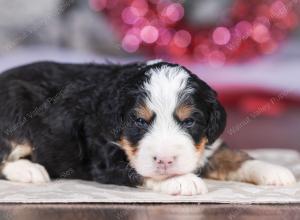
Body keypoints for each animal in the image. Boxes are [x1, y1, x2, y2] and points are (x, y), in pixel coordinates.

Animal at [0, 60, 296, 196]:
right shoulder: (105, 158)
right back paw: (29, 170)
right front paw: (181, 180)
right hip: (16, 109)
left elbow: (234, 156)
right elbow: (141, 171)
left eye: (189, 121)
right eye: (139, 121)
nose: (165, 160)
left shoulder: (206, 146)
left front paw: (275, 171)